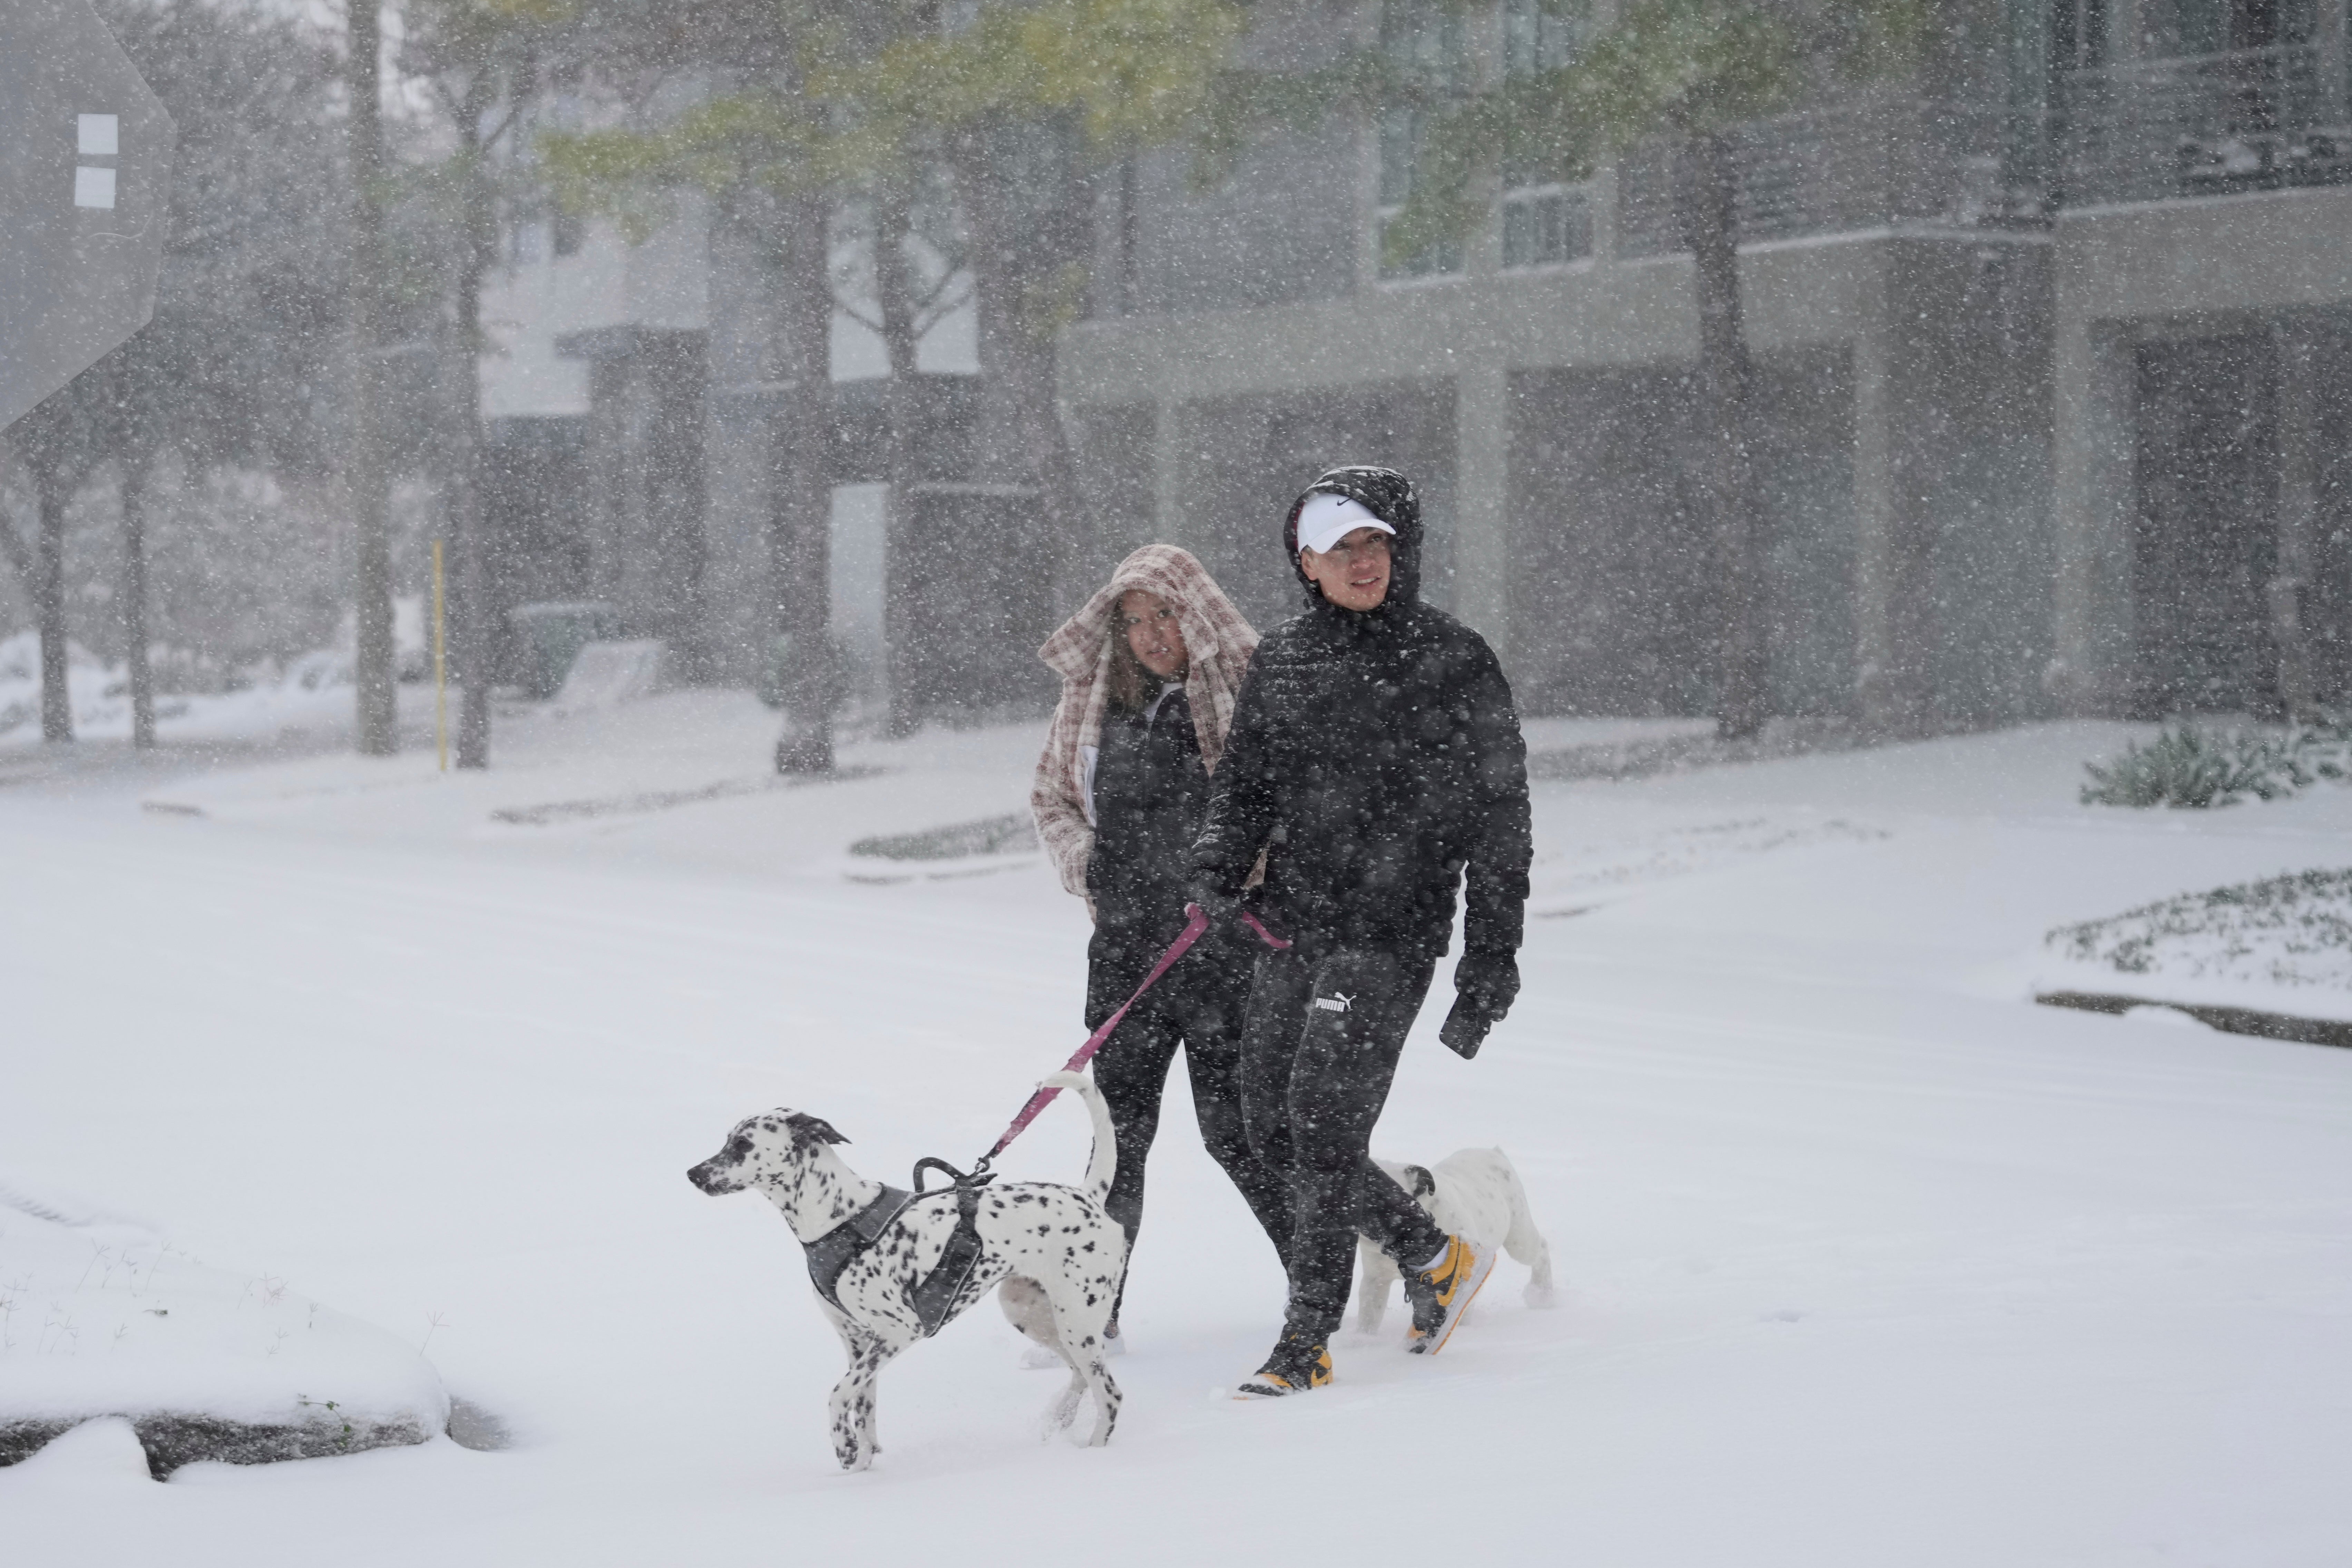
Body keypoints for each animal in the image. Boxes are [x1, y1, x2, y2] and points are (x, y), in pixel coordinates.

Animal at [686, 1067, 1124, 1476]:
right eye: (727, 1139)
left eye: (743, 1144)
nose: (693, 1174)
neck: (839, 1221)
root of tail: (1088, 1196)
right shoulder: (858, 1341)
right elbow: (863, 1410)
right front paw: (860, 1470)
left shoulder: (898, 1330)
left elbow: (837, 1395)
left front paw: (843, 1446)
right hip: (1032, 1314)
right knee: (1080, 1376)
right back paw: (1057, 1422)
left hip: (1077, 1320)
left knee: (1110, 1393)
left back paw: (1094, 1454)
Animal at [1355, 1147, 1552, 1335]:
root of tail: (1494, 1152)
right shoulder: (1375, 1280)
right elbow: (1369, 1317)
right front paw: (1363, 1340)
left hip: (1520, 1240)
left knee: (1541, 1249)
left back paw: (1542, 1295)